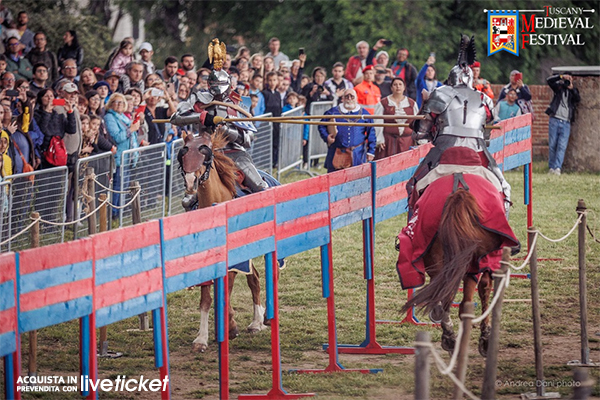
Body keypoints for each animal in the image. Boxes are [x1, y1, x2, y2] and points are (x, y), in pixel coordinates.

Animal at [178, 132, 268, 354]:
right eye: (184, 153)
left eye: (205, 155)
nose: (191, 182)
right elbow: (206, 299)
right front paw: (201, 339)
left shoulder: (232, 262)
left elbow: (224, 293)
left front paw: (230, 327)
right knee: (254, 277)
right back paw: (255, 322)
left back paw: (259, 321)